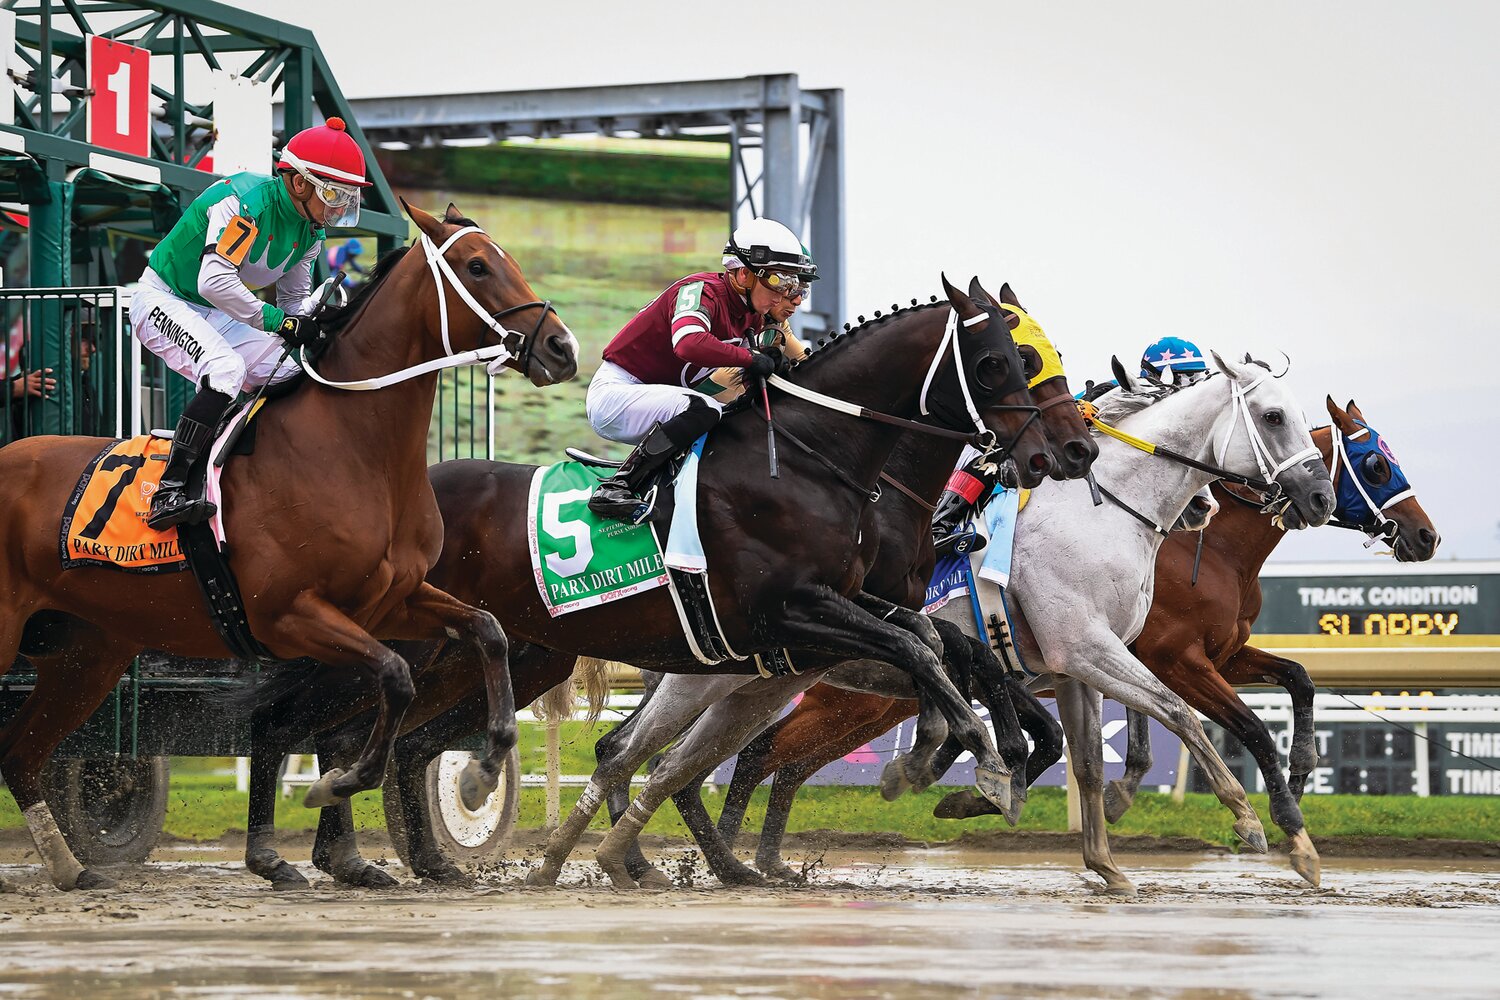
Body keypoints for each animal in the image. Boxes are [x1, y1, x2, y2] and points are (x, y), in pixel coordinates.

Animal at [0, 203, 579, 893]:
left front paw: (481, 767)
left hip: (87, 654)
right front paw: (337, 785)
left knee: (20, 753)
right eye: (477, 266)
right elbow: (393, 678)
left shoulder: (393, 601)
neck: (352, 445)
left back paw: (70, 866)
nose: (563, 348)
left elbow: (486, 631)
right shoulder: (288, 615)